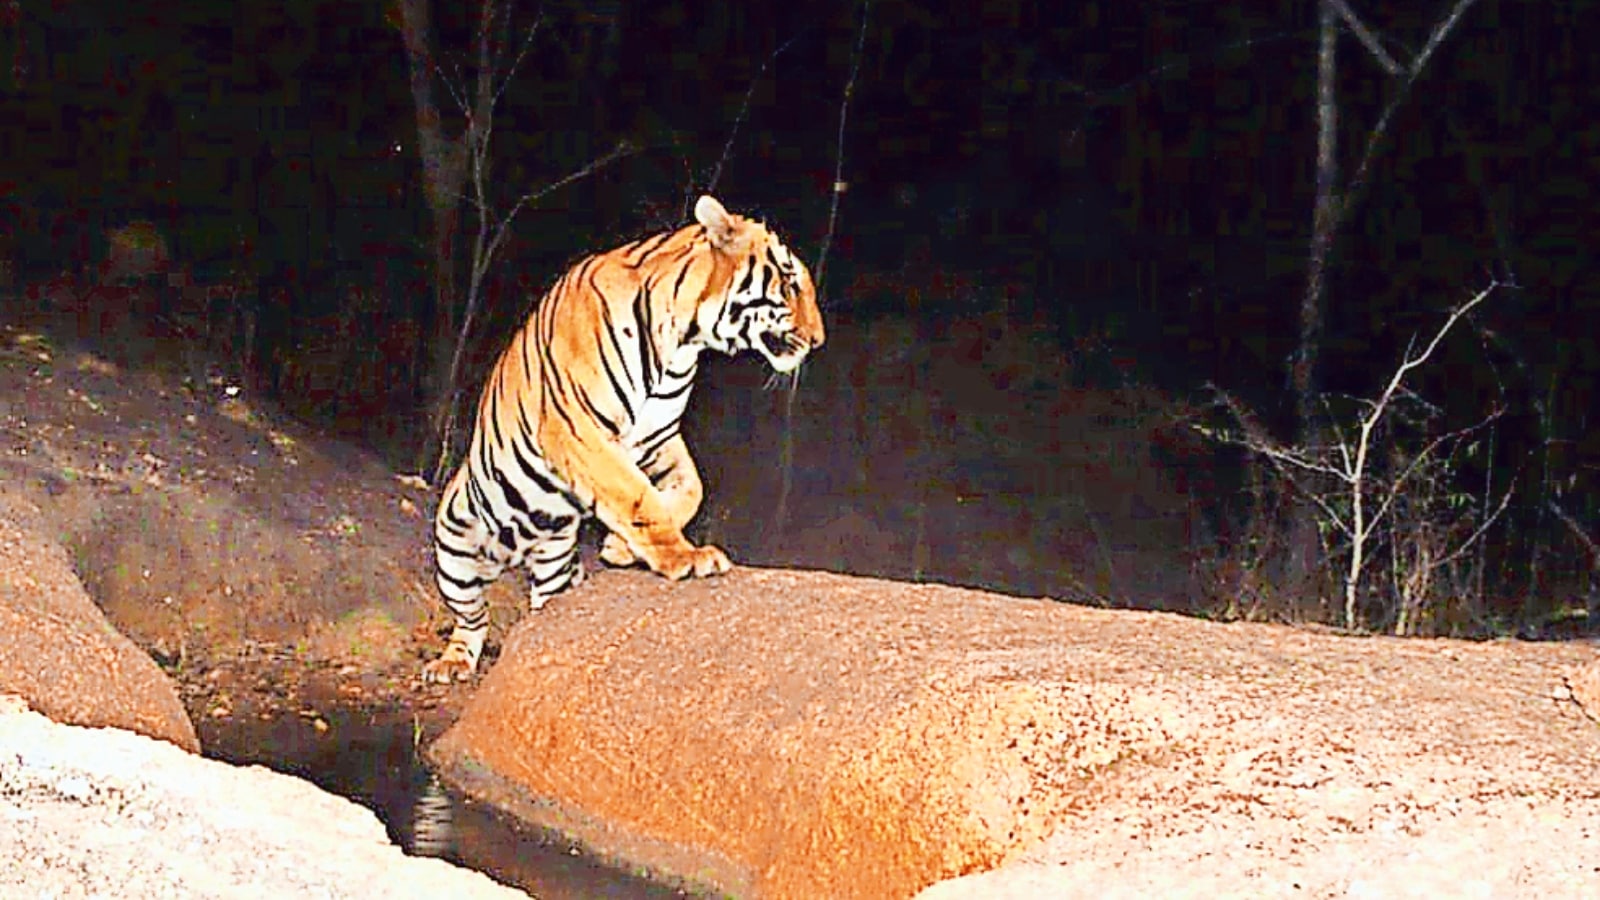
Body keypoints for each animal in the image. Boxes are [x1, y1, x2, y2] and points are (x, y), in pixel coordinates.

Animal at [422, 195, 825, 683]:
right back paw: (451, 663)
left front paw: (620, 547)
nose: (818, 340)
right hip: (455, 548)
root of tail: (516, 553)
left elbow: (689, 489)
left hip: (554, 563)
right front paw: (685, 558)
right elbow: (635, 495)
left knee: (542, 611)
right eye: (790, 283)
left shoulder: (657, 436)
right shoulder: (580, 431)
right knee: (472, 618)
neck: (683, 343)